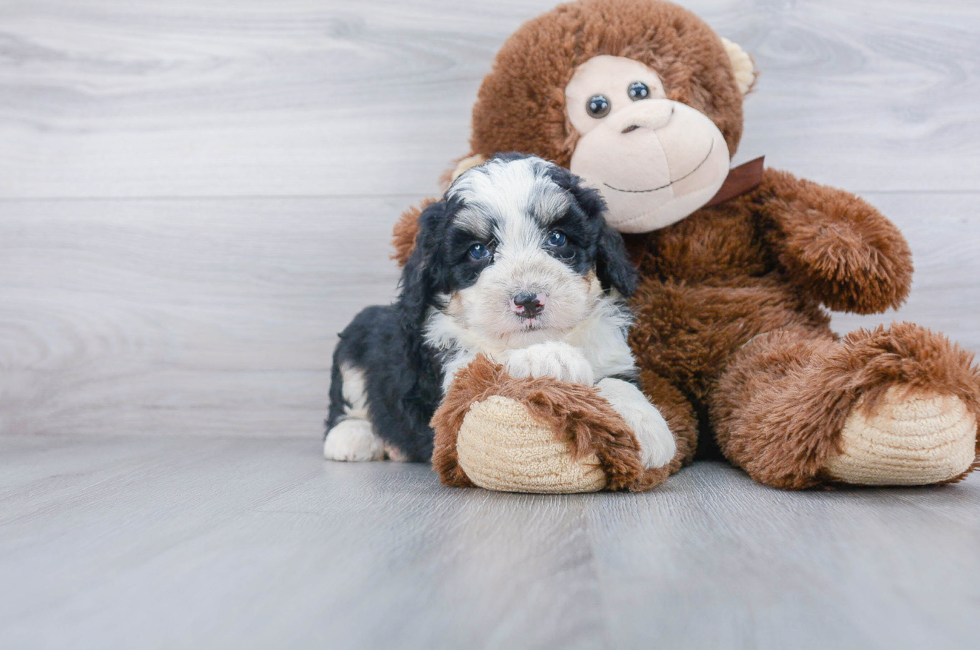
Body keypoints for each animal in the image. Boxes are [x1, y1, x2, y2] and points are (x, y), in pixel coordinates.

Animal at [326, 152, 676, 466]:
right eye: (477, 250)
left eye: (558, 238)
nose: (529, 301)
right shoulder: (450, 382)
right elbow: (488, 367)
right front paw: (548, 357)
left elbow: (618, 381)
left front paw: (646, 428)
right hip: (359, 332)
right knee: (348, 402)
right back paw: (353, 437)